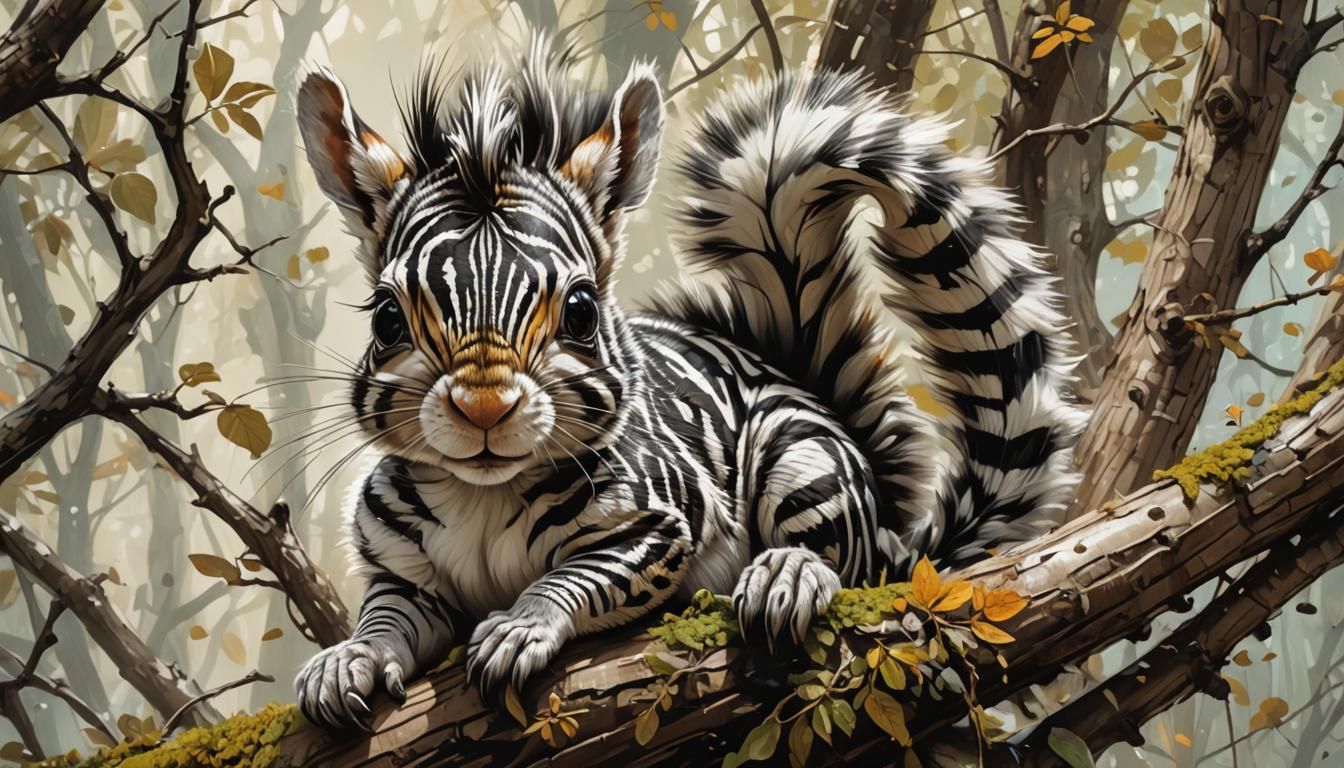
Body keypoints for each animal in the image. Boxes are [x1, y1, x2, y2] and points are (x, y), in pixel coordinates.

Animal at [291, 41, 1085, 729]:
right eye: (385, 316)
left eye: (581, 310)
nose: (483, 408)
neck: (482, 496)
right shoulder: (403, 572)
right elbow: (388, 616)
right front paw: (346, 659)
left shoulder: (658, 528)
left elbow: (577, 577)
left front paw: (520, 625)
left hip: (802, 458)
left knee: (842, 559)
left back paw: (789, 572)